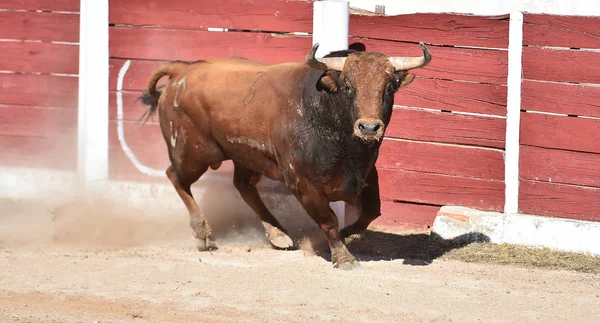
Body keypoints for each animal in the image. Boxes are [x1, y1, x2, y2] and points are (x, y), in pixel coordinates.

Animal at [141, 43, 432, 270]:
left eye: (389, 86)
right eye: (348, 86)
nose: (369, 128)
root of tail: (183, 71)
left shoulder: (367, 173)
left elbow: (373, 209)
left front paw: (350, 236)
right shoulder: (302, 183)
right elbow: (329, 220)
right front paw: (344, 257)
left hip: (247, 155)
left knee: (243, 185)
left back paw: (277, 234)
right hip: (193, 153)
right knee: (176, 177)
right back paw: (203, 234)